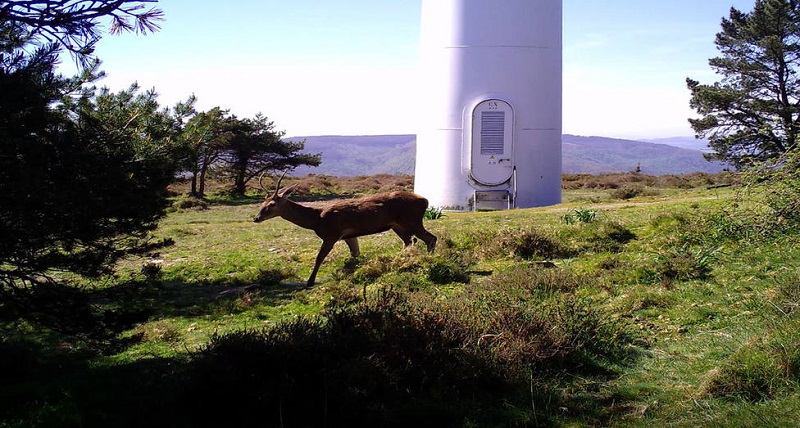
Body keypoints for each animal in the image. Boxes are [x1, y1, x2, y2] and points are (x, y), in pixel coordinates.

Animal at [252, 172, 434, 286]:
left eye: (272, 204)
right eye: (262, 202)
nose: (256, 218)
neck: (316, 220)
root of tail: (425, 201)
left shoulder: (331, 234)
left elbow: (319, 258)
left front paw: (309, 281)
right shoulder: (348, 235)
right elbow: (355, 254)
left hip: (412, 220)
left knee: (430, 238)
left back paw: (429, 260)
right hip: (398, 225)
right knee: (410, 241)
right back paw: (402, 260)